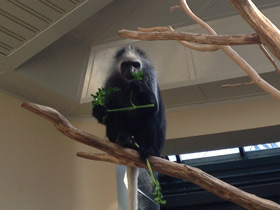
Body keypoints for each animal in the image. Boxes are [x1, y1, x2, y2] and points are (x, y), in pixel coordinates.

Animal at [92, 45, 166, 209]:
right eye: (126, 65)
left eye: (135, 65)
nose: (131, 71)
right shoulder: (111, 81)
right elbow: (107, 113)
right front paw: (100, 110)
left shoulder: (149, 77)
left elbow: (153, 108)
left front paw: (139, 88)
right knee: (116, 114)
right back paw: (123, 139)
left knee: (148, 116)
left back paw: (148, 149)